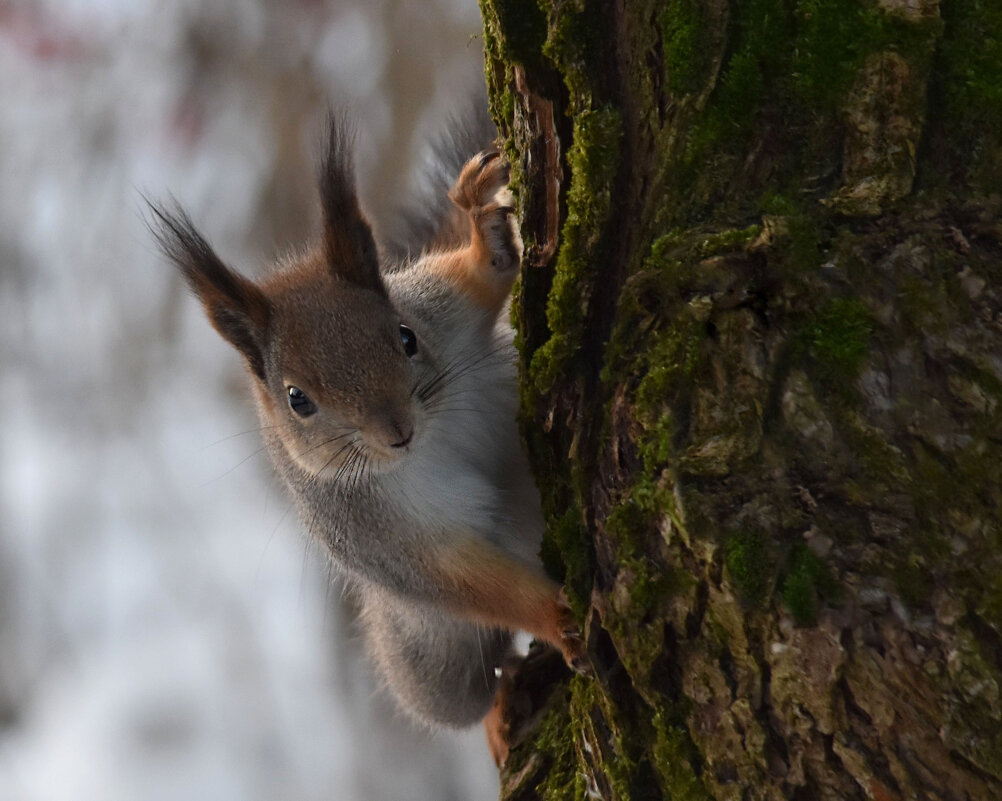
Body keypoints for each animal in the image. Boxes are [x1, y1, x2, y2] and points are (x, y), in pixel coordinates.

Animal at [148, 109, 585, 765]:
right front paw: (556, 617)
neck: (429, 443)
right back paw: (497, 715)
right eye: (297, 399)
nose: (397, 431)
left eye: (405, 337)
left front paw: (484, 224)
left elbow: (480, 283)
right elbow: (465, 581)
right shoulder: (378, 536)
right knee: (470, 683)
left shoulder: (445, 311)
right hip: (428, 654)